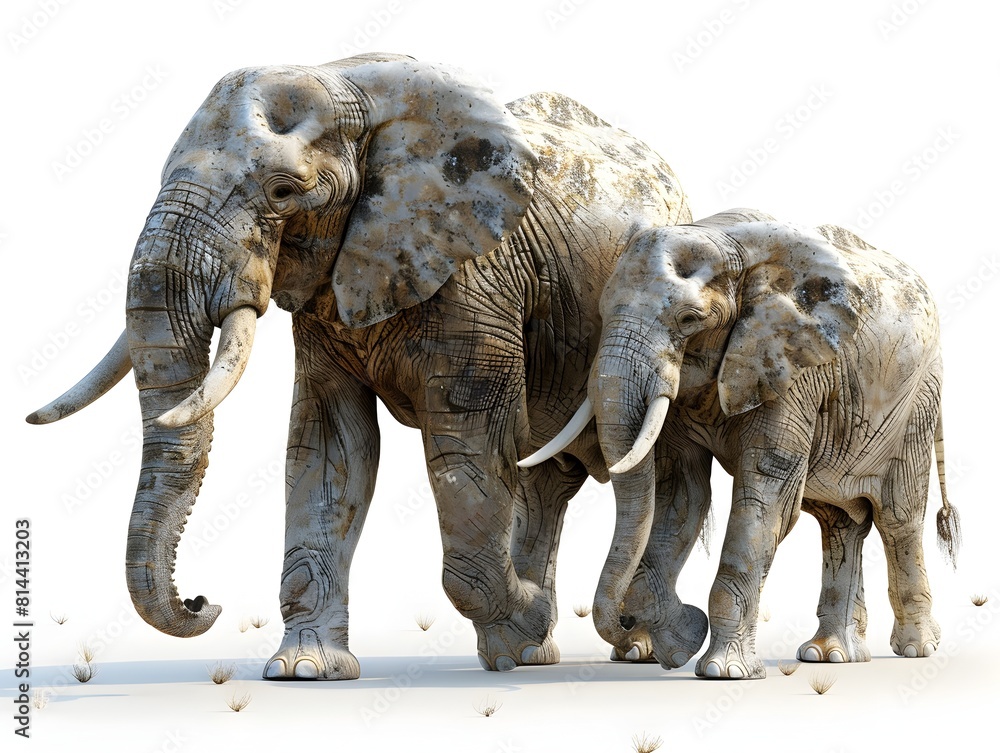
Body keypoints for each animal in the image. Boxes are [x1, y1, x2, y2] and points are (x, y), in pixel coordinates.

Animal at [27, 53, 692, 679]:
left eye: (282, 192)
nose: (200, 602)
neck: (349, 83)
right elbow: (330, 449)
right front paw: (305, 670)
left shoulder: (478, 279)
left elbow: (467, 448)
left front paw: (525, 608)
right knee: (546, 483)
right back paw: (528, 654)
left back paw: (622, 648)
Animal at [523, 209, 961, 678]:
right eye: (602, 313)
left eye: (689, 319)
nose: (624, 623)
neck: (723, 238)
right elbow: (681, 494)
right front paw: (676, 644)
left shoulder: (795, 370)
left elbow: (764, 494)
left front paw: (723, 670)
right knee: (840, 524)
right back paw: (831, 654)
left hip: (918, 400)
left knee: (898, 518)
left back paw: (915, 648)